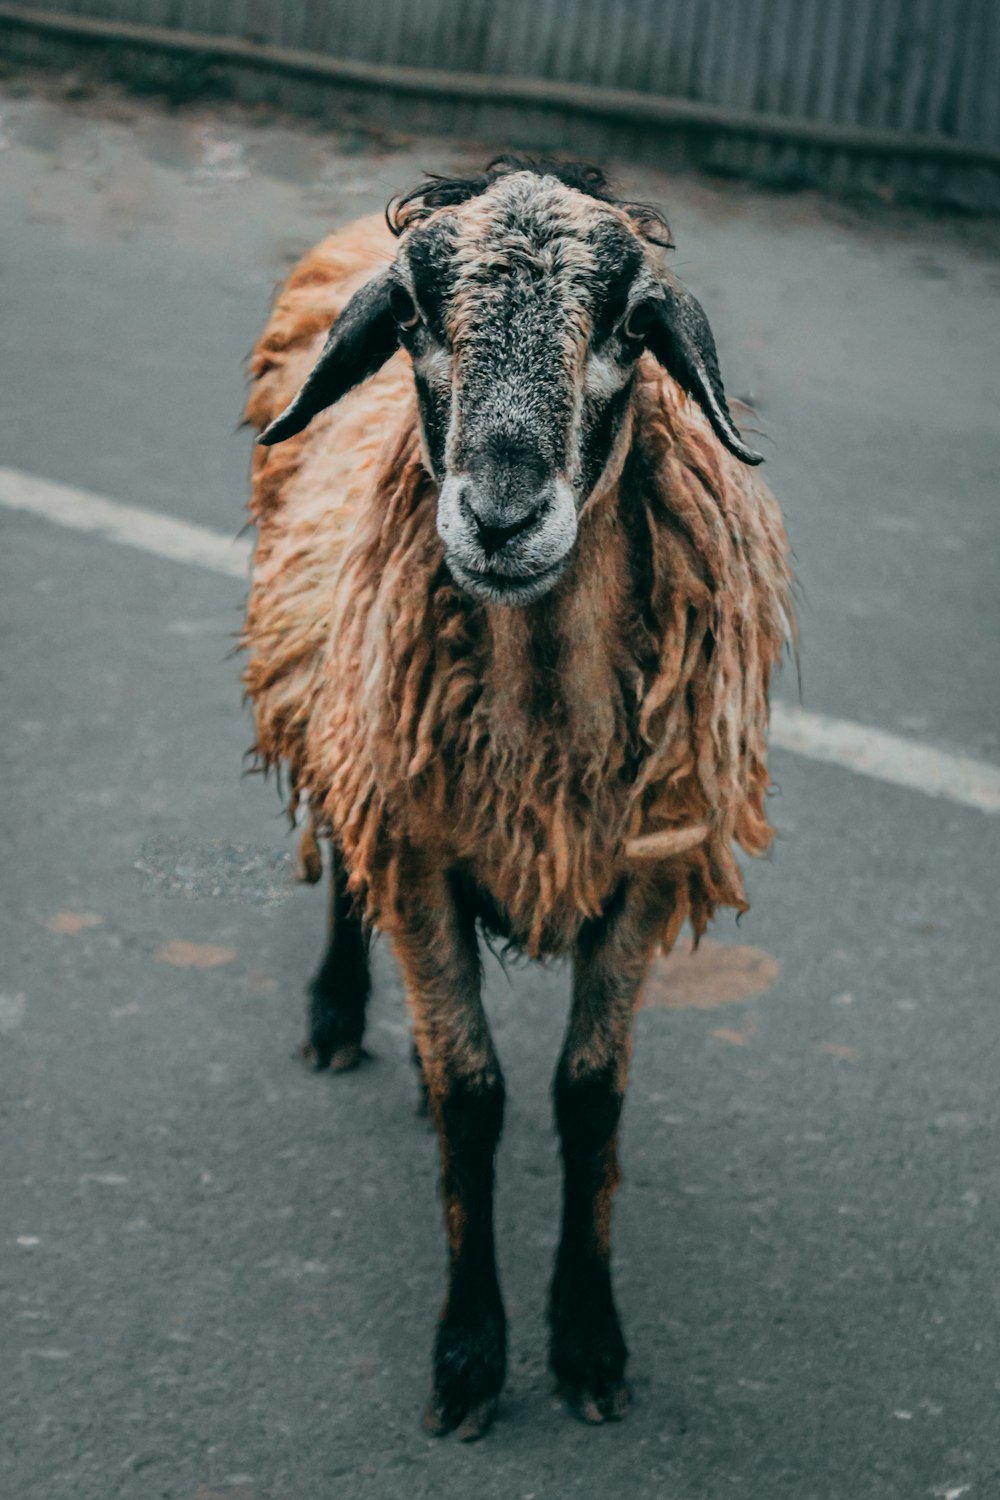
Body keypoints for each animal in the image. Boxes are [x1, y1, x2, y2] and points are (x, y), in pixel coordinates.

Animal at [239, 161, 791, 1440]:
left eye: (630, 327)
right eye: (410, 319)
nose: (499, 516)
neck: (545, 715)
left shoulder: (644, 866)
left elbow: (587, 1099)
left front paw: (587, 1340)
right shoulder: (420, 849)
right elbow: (477, 1098)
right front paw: (470, 1355)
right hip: (348, 714)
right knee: (344, 859)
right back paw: (338, 1012)